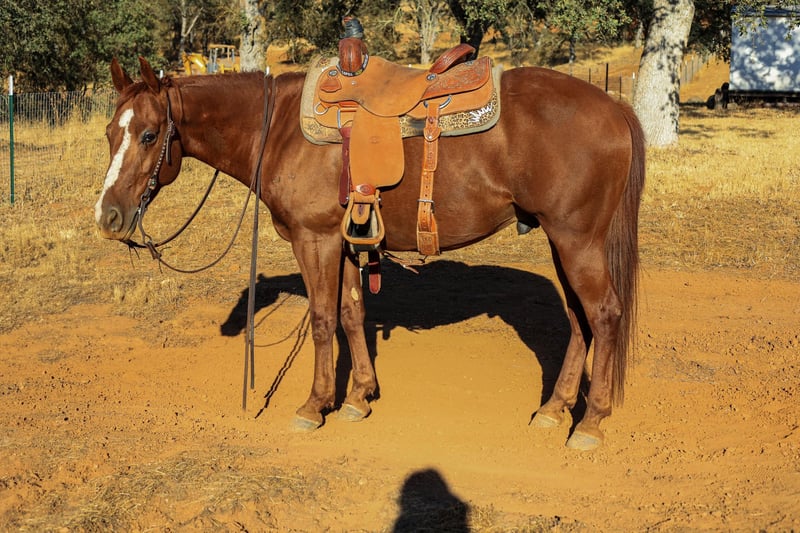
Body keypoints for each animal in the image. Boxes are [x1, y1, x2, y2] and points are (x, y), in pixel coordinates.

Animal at [94, 56, 644, 450]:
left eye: (149, 134)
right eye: (109, 133)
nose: (108, 217)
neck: (279, 130)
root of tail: (613, 107)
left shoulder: (314, 239)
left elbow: (322, 319)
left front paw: (315, 405)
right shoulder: (342, 242)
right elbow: (351, 313)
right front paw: (359, 396)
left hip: (577, 240)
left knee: (604, 314)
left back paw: (590, 423)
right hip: (561, 241)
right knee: (578, 319)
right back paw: (554, 409)